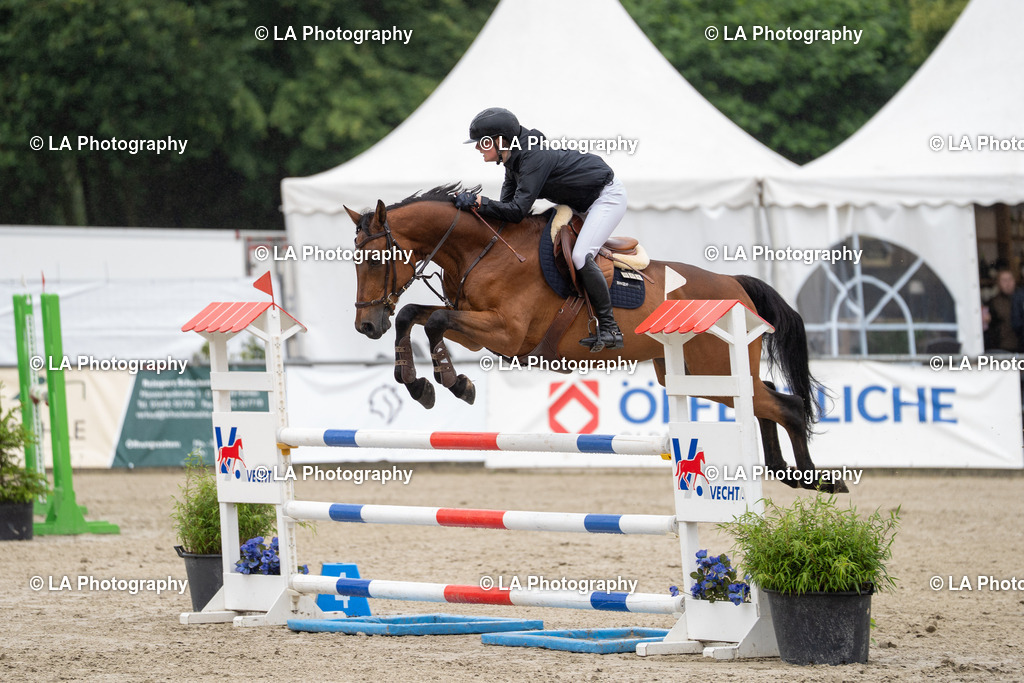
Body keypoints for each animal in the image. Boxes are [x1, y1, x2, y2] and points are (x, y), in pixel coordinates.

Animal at [345, 183, 846, 493]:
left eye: (374, 259)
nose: (365, 326)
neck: (481, 250)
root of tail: (735, 286)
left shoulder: (505, 332)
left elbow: (430, 322)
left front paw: (454, 383)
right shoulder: (476, 330)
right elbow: (413, 315)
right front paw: (417, 383)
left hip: (710, 367)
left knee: (786, 405)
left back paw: (819, 480)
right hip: (694, 375)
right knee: (766, 402)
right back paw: (789, 473)